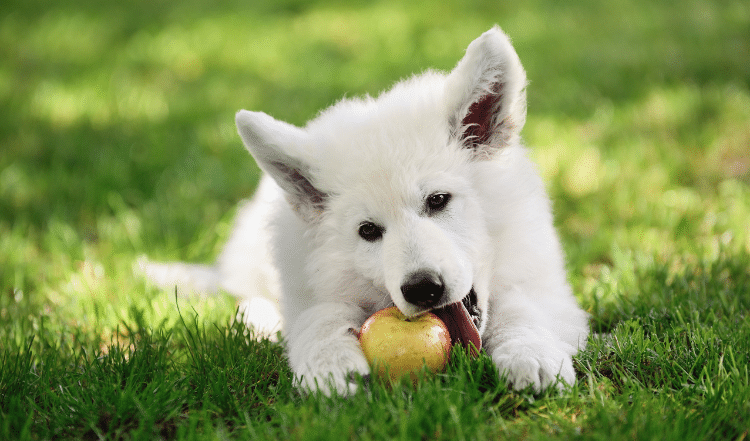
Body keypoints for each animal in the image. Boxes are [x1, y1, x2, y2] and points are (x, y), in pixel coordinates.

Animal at [138, 25, 592, 394]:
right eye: (369, 231)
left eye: (438, 201)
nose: (422, 289)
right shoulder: (312, 286)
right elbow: (320, 317)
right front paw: (330, 365)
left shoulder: (542, 282)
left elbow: (522, 309)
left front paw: (529, 354)